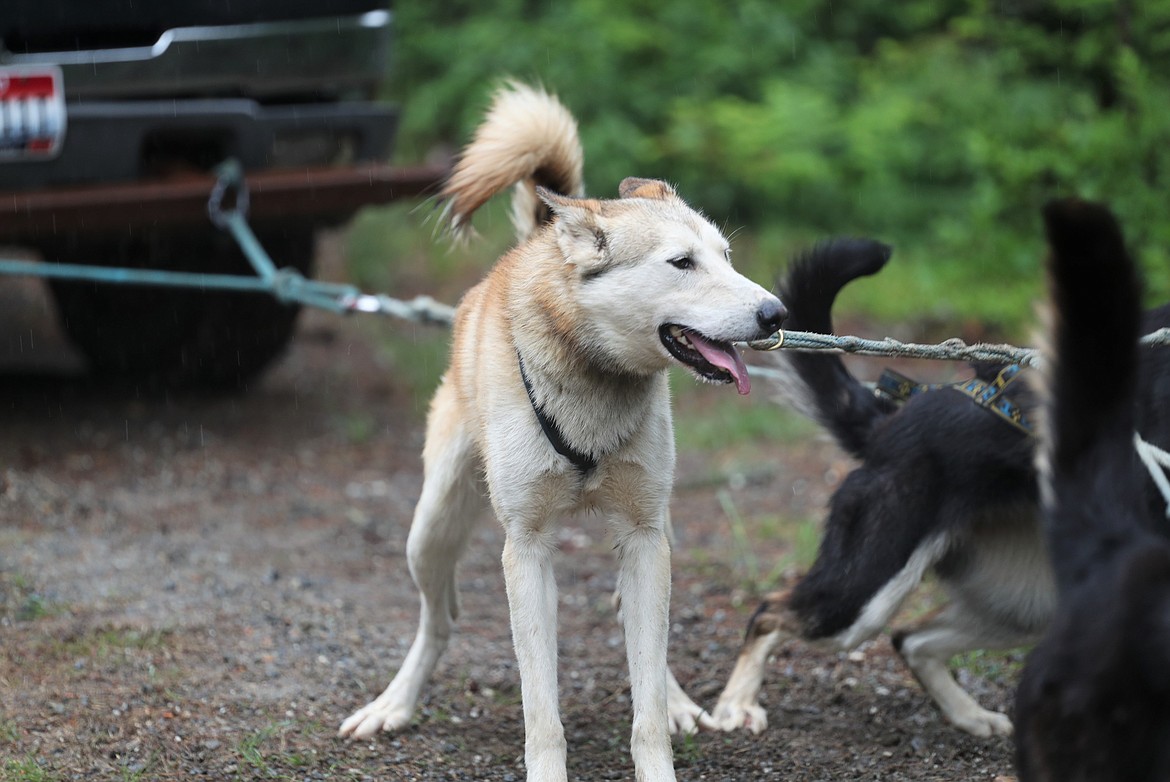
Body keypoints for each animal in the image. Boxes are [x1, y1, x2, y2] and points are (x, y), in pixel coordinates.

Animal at [339, 80, 786, 782]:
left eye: (726, 258)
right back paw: (395, 703)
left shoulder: (643, 539)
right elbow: (541, 710)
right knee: (439, 621)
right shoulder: (526, 551)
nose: (777, 313)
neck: (593, 382)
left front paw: (663, 733)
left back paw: (679, 701)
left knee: (643, 634)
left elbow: (646, 697)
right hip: (430, 531)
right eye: (682, 262)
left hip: (659, 534)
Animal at [706, 227, 1170, 739]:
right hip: (863, 594)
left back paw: (970, 714)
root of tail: (893, 422)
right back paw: (735, 705)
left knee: (912, 639)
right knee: (771, 614)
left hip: (1033, 602)